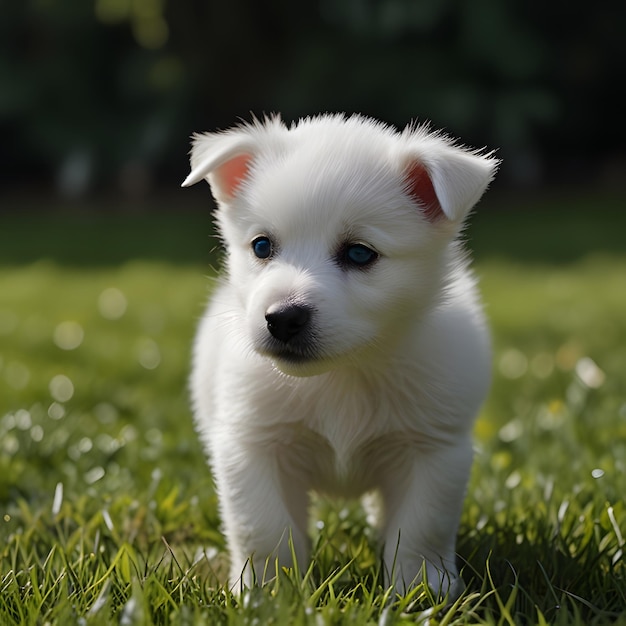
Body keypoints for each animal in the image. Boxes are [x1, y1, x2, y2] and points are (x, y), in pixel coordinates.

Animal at [180, 114, 498, 596]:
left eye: (359, 253)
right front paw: (267, 591)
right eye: (261, 246)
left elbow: (420, 528)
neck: (342, 373)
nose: (282, 318)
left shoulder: (433, 448)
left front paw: (421, 591)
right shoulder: (253, 445)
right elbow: (264, 527)